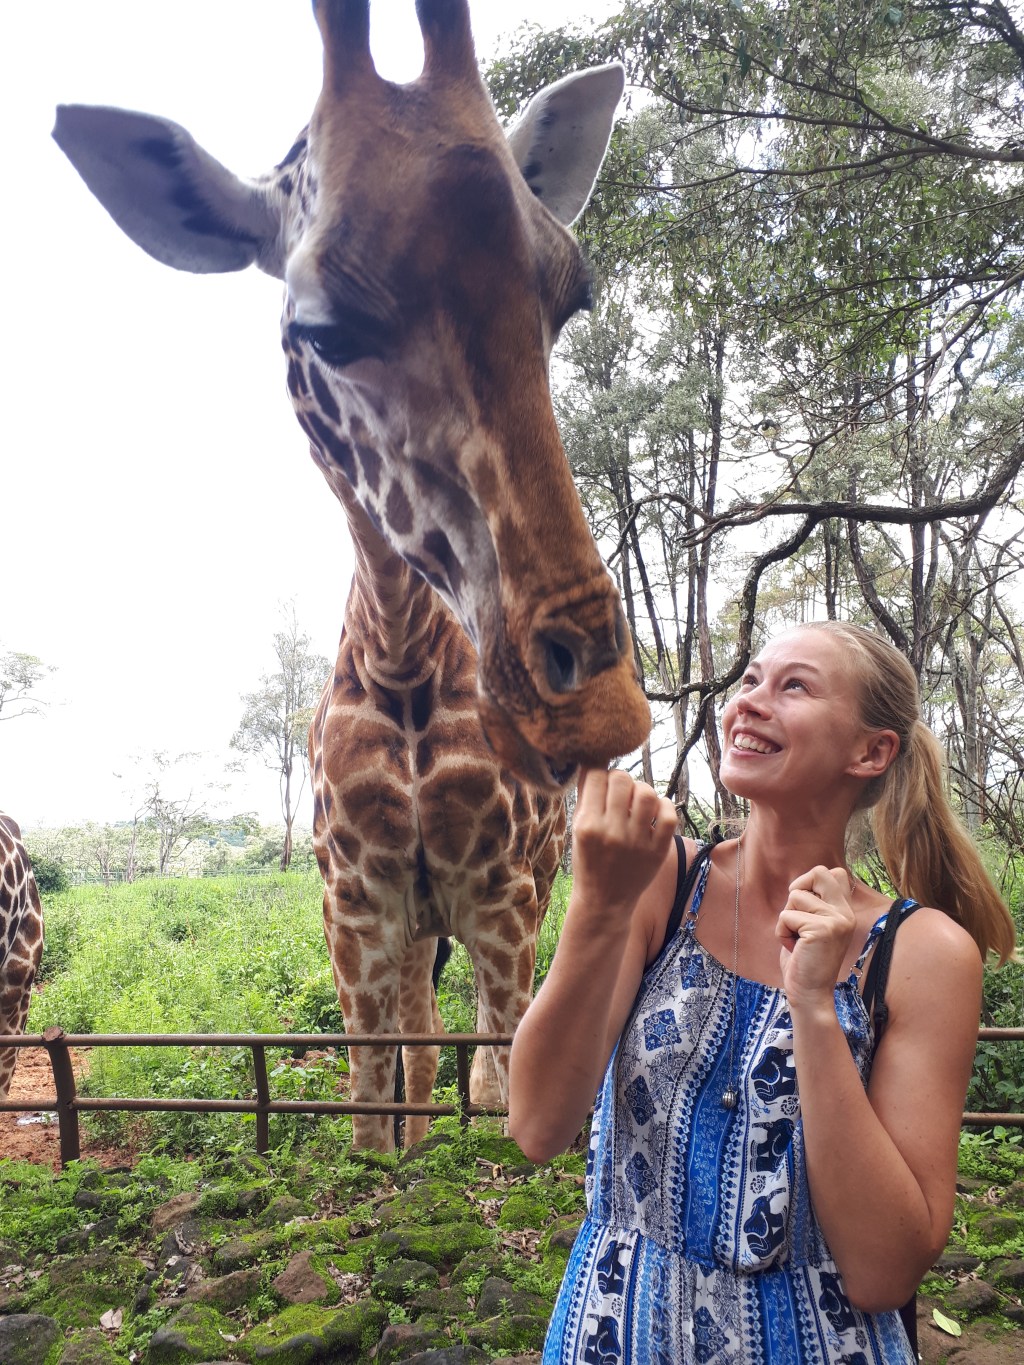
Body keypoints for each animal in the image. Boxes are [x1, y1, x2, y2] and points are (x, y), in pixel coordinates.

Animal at [53, 0, 652, 1150]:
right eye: (322, 328)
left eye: (570, 298)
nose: (597, 704)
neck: (406, 667)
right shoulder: (359, 906)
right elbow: (377, 1109)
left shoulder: (500, 892)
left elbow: (491, 1097)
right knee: (418, 1057)